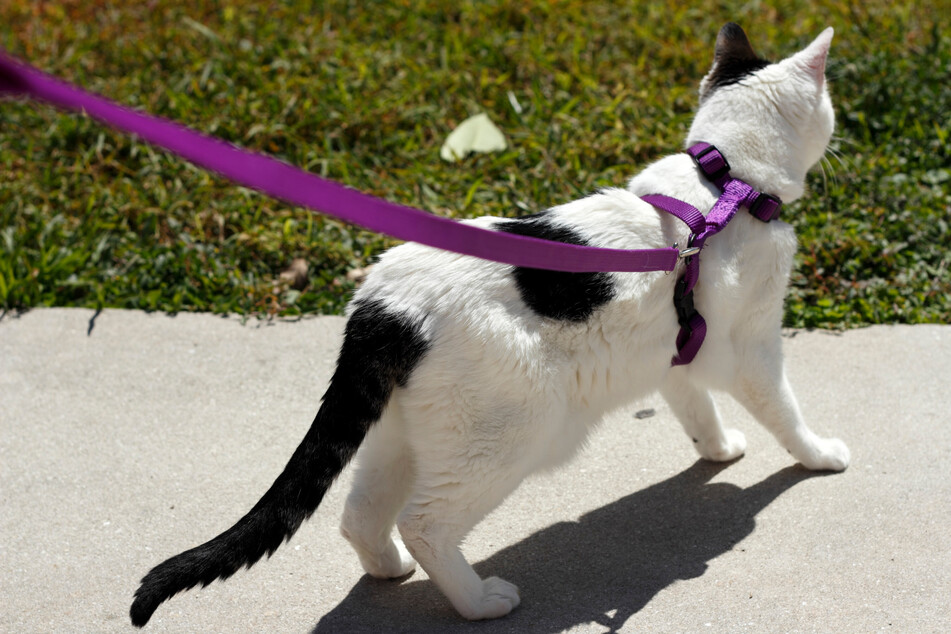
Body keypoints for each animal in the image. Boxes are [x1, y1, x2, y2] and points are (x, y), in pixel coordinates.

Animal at [130, 22, 852, 624]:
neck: (723, 181)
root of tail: (382, 307)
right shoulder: (750, 345)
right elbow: (782, 409)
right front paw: (818, 454)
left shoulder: (673, 347)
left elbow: (692, 401)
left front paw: (716, 447)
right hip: (509, 434)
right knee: (425, 522)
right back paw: (477, 601)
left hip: (403, 432)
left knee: (360, 513)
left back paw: (387, 569)